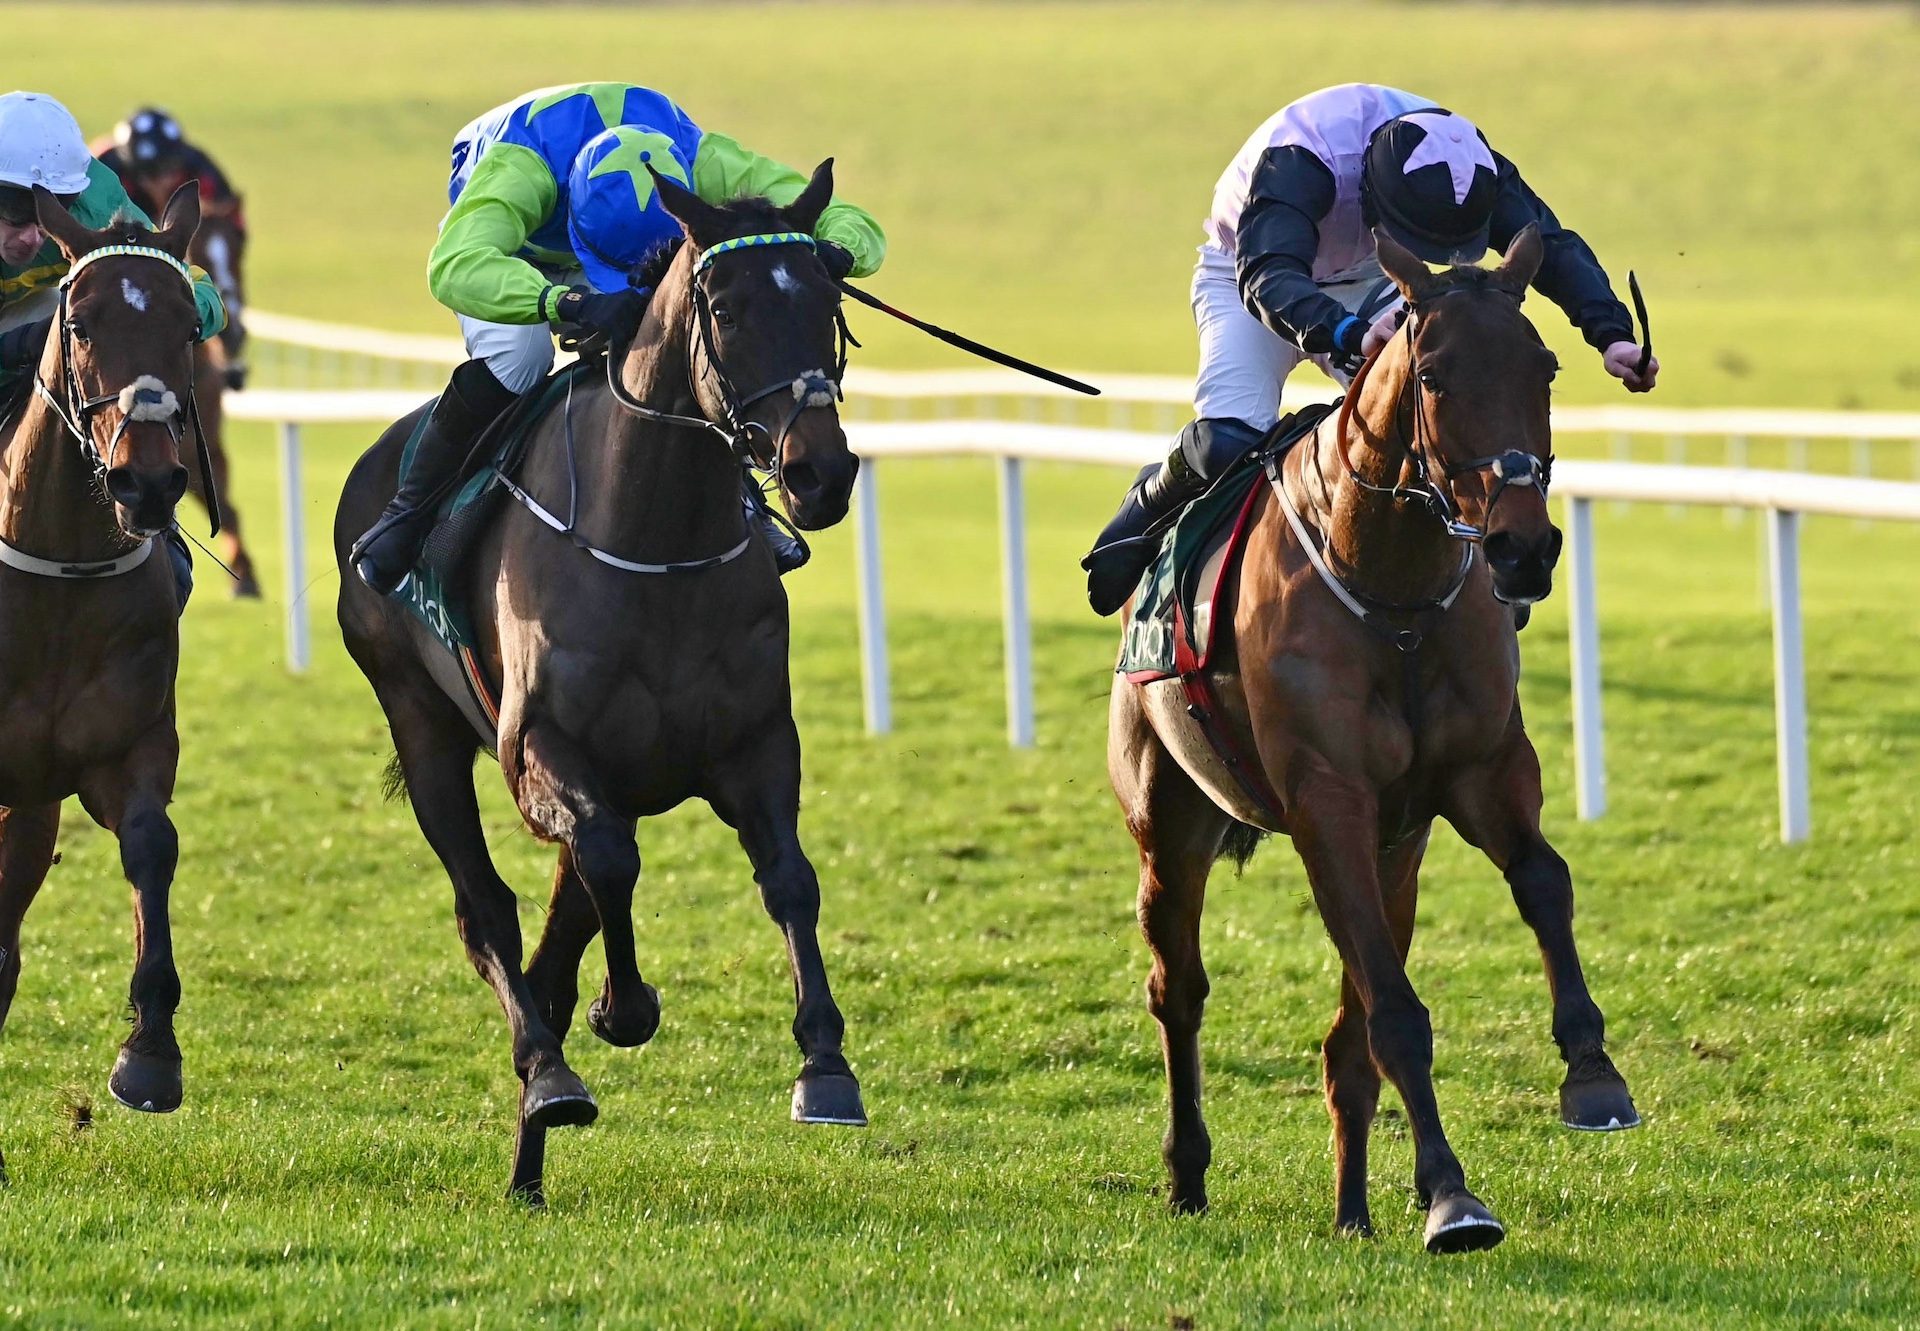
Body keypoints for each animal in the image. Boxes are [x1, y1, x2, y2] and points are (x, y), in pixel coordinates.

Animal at [336, 161, 864, 1198]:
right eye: (727, 308)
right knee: (490, 915)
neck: (658, 538)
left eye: (827, 299)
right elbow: (609, 866)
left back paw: (530, 1163)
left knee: (553, 933)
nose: (819, 472)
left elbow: (790, 878)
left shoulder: (756, 746)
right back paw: (547, 1076)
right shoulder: (540, 751)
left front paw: (825, 1066)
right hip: (421, 726)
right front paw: (622, 1011)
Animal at [1113, 222, 1635, 1252]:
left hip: (1401, 853)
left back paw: (1352, 1211)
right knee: (1178, 989)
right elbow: (1396, 1013)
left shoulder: (1477, 774)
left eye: (1547, 366)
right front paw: (1452, 1196)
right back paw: (1187, 1175)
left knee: (1343, 1038)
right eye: (1431, 376)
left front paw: (1592, 1071)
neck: (1393, 593)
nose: (1523, 548)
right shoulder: (1329, 802)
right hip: (1171, 822)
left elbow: (1543, 881)